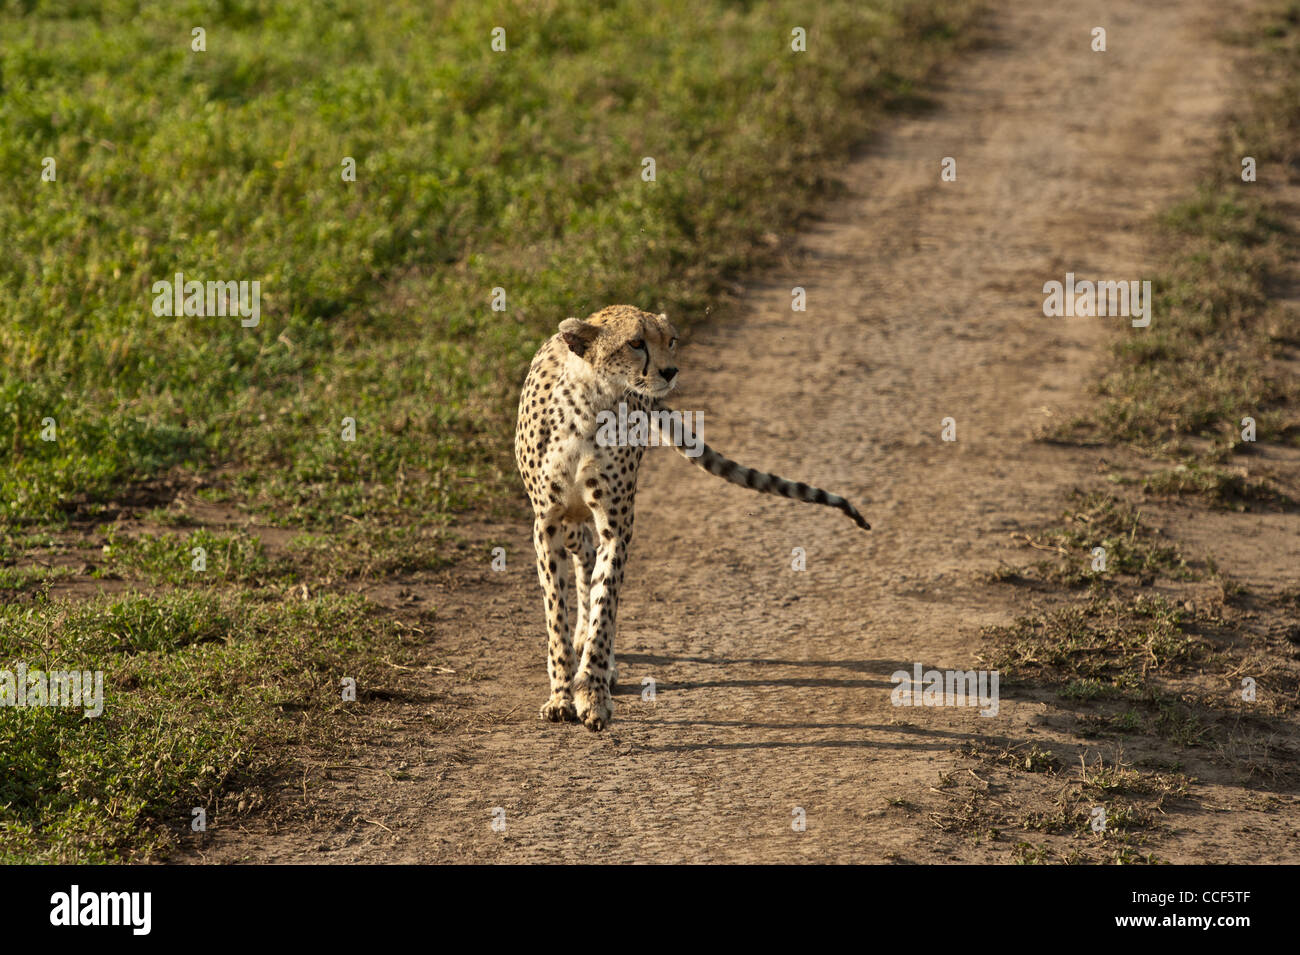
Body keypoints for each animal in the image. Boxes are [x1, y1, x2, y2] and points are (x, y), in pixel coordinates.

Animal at [514, 304, 870, 731]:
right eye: (635, 343)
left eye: (671, 340)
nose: (670, 372)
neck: (591, 405)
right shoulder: (547, 522)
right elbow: (556, 615)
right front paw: (562, 694)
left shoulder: (617, 525)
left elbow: (606, 604)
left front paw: (594, 692)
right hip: (566, 519)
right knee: (583, 551)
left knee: (591, 561)